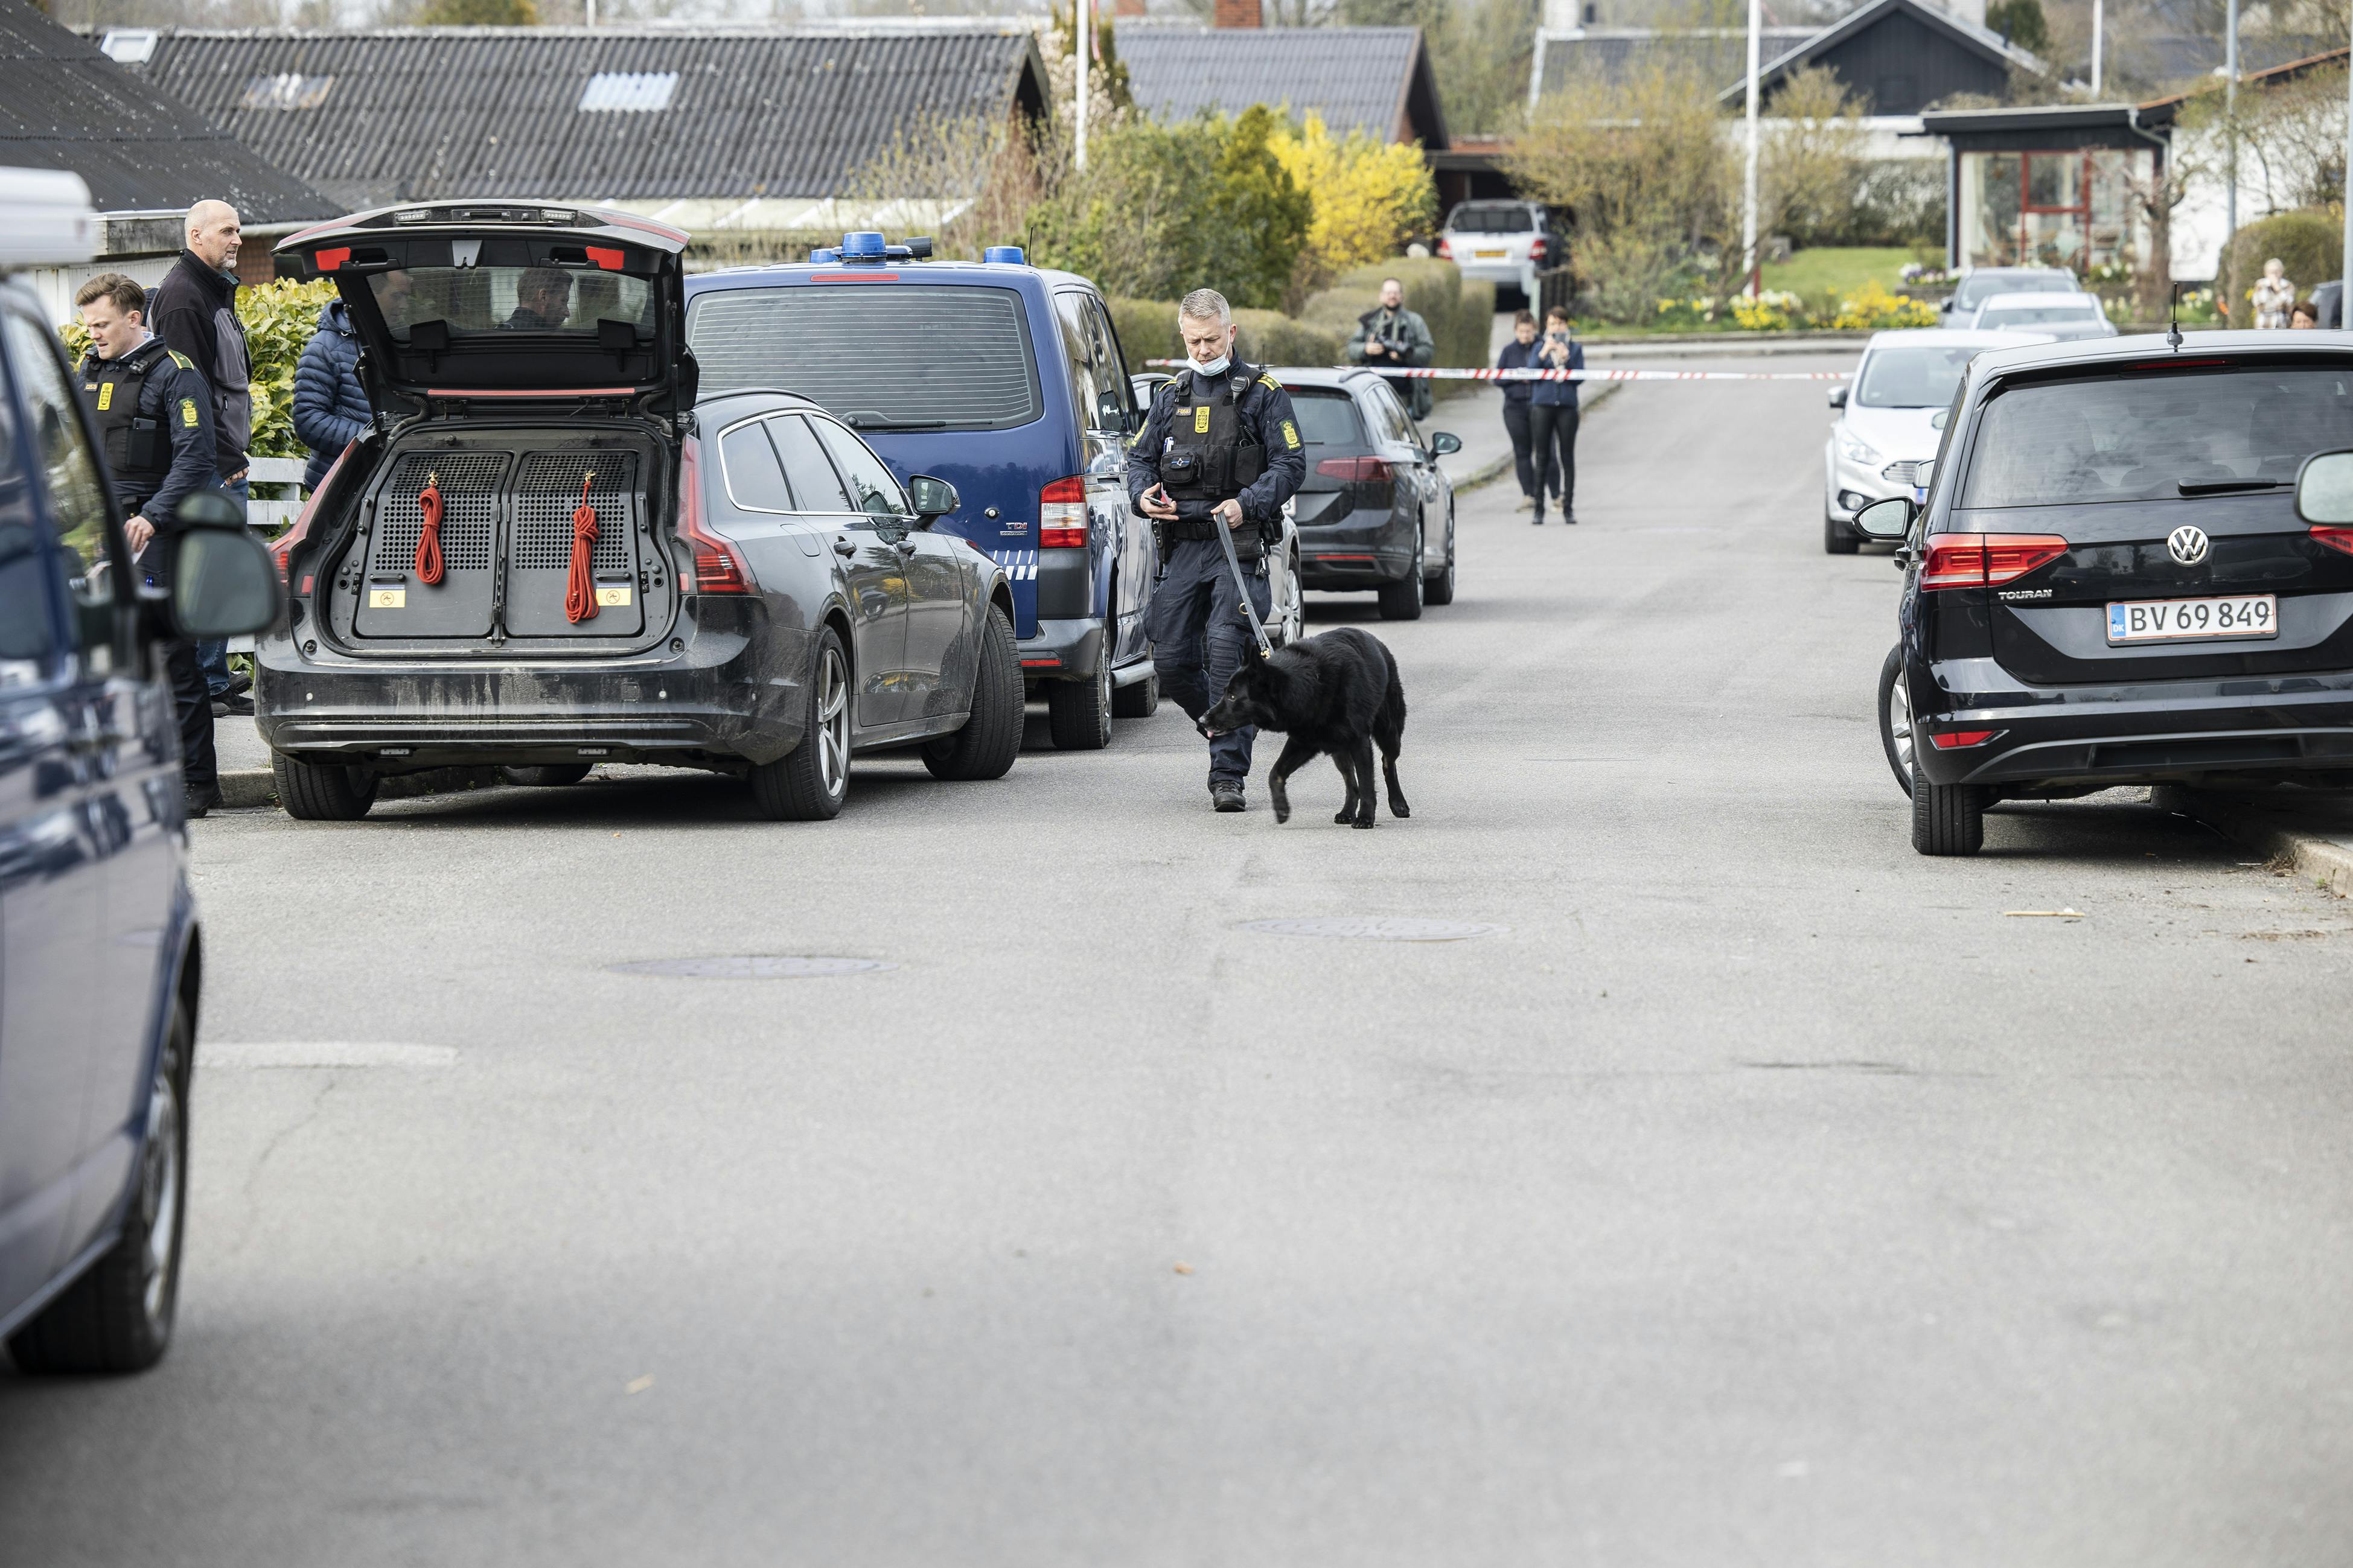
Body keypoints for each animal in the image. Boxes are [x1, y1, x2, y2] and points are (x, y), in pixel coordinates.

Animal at [1204, 621, 1402, 824]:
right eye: (1225, 693)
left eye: (1232, 697)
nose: (1203, 720)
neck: (1312, 684)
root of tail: (1376, 642)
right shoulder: (1303, 742)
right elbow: (1275, 773)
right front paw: (1281, 808)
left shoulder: (1359, 741)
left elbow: (1366, 782)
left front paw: (1366, 817)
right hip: (1339, 749)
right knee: (1350, 782)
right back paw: (1347, 812)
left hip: (1389, 733)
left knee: (1387, 763)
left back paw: (1398, 804)